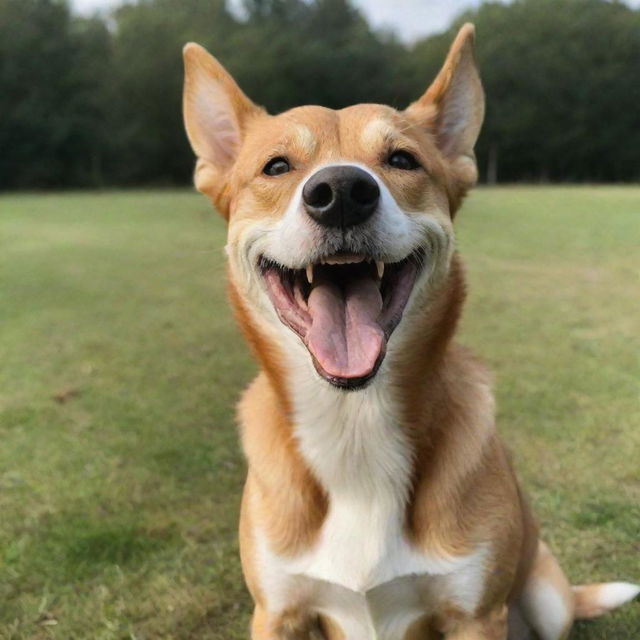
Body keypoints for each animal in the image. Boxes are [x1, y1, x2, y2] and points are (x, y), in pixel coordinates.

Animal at [181, 22, 640, 636]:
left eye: (402, 159)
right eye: (276, 167)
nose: (341, 193)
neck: (355, 424)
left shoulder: (476, 614)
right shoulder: (276, 613)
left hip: (545, 595)